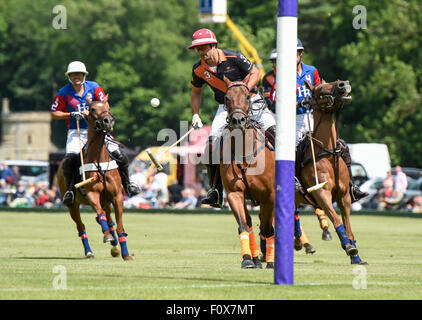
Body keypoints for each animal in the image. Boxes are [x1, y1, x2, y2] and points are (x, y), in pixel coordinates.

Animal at [56, 97, 132, 260]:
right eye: (92, 109)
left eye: (108, 107)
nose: (108, 121)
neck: (99, 163)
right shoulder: (92, 194)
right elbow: (100, 215)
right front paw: (107, 236)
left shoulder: (117, 196)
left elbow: (119, 225)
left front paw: (126, 254)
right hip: (73, 205)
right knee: (82, 227)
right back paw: (89, 251)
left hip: (106, 201)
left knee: (109, 219)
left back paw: (115, 247)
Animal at [296, 79, 366, 264]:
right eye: (320, 89)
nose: (344, 84)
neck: (328, 153)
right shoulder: (322, 194)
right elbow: (336, 220)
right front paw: (348, 247)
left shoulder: (344, 196)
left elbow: (348, 226)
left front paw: (356, 257)